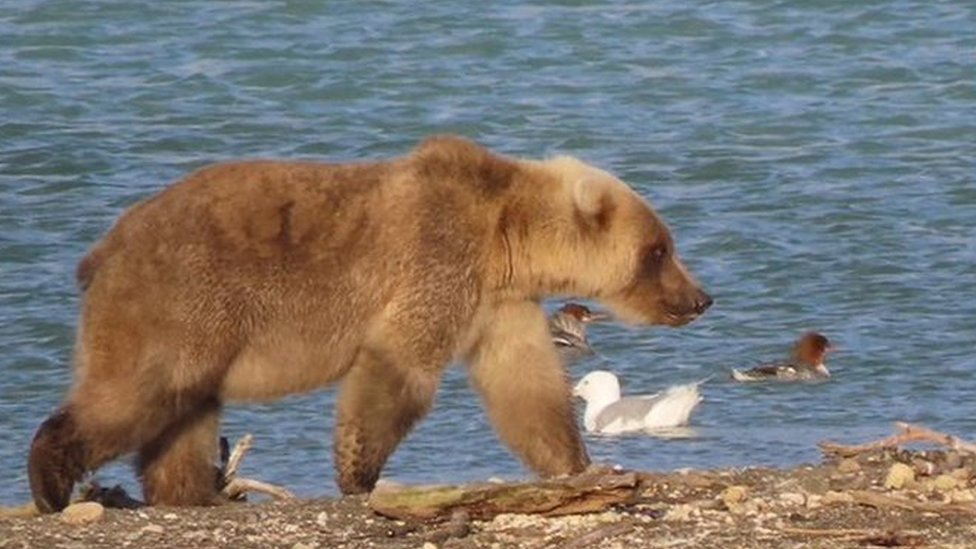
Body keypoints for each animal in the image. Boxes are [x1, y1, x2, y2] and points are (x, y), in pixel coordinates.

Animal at [24, 135, 708, 512]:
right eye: (660, 250)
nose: (701, 298)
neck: (507, 238)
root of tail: (103, 248)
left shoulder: (498, 302)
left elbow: (525, 385)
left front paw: (574, 462)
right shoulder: (437, 261)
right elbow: (399, 366)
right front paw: (358, 472)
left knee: (186, 411)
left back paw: (193, 492)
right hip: (180, 301)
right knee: (139, 390)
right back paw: (51, 477)